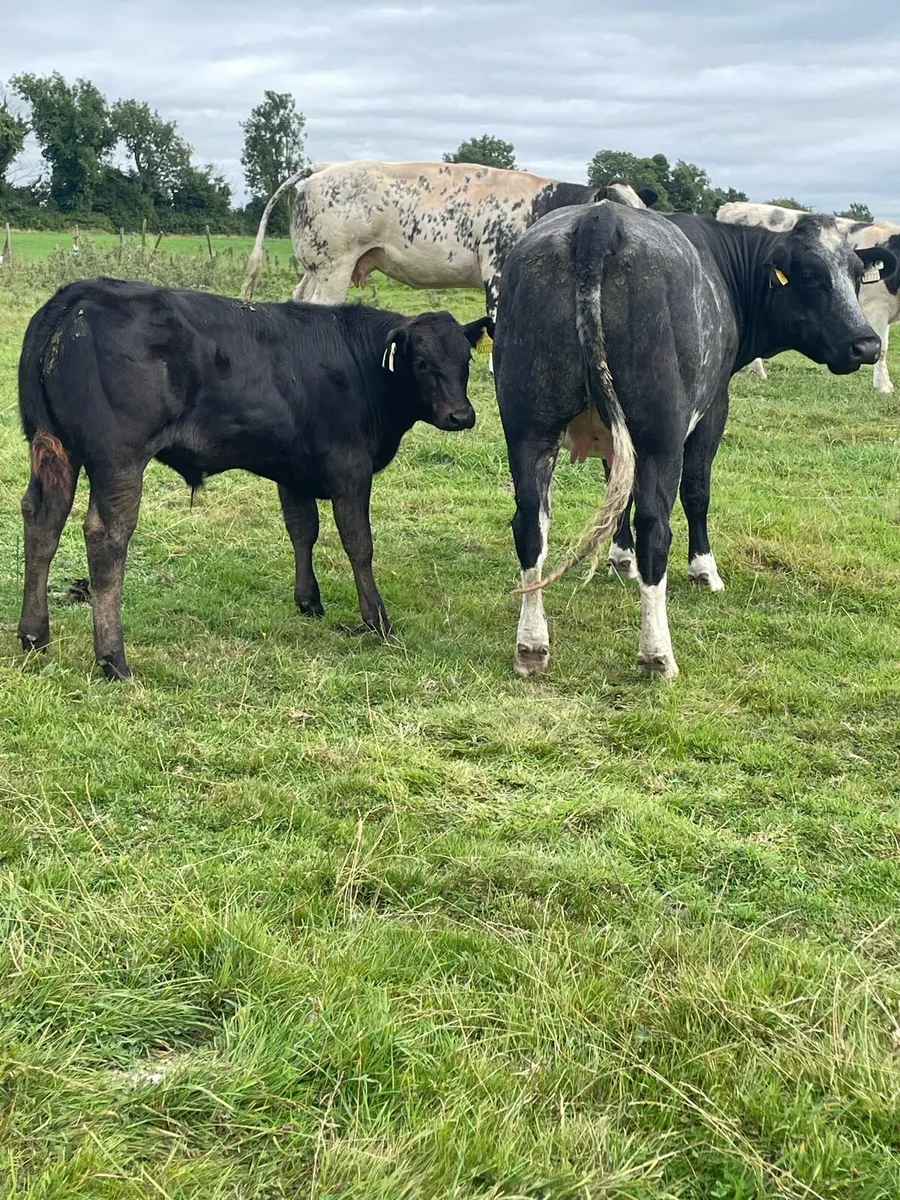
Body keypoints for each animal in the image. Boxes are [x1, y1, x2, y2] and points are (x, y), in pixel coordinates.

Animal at [17, 277, 491, 680]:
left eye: (466, 360)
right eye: (422, 362)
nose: (461, 416)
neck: (360, 365)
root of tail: (82, 292)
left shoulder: (293, 469)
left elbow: (302, 530)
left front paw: (309, 601)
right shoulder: (350, 469)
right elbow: (359, 544)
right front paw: (377, 619)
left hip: (56, 452)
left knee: (42, 522)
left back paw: (34, 635)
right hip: (119, 460)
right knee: (106, 538)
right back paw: (113, 659)